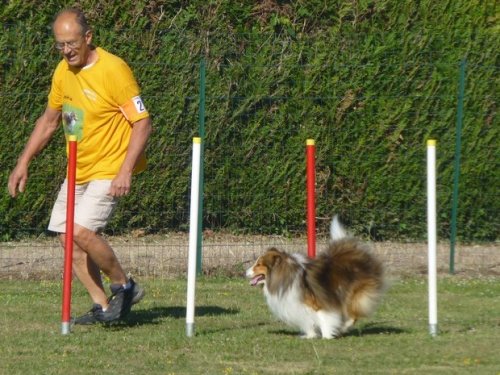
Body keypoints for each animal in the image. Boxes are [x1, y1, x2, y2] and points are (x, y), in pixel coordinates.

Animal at [247, 216, 386, 340]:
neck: (285, 275)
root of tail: (354, 252)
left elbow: (324, 318)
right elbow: (308, 322)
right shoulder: (301, 307)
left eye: (259, 264)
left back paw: (342, 328)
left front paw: (326, 336)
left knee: (353, 315)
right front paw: (310, 336)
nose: (245, 272)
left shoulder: (320, 303)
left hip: (353, 294)